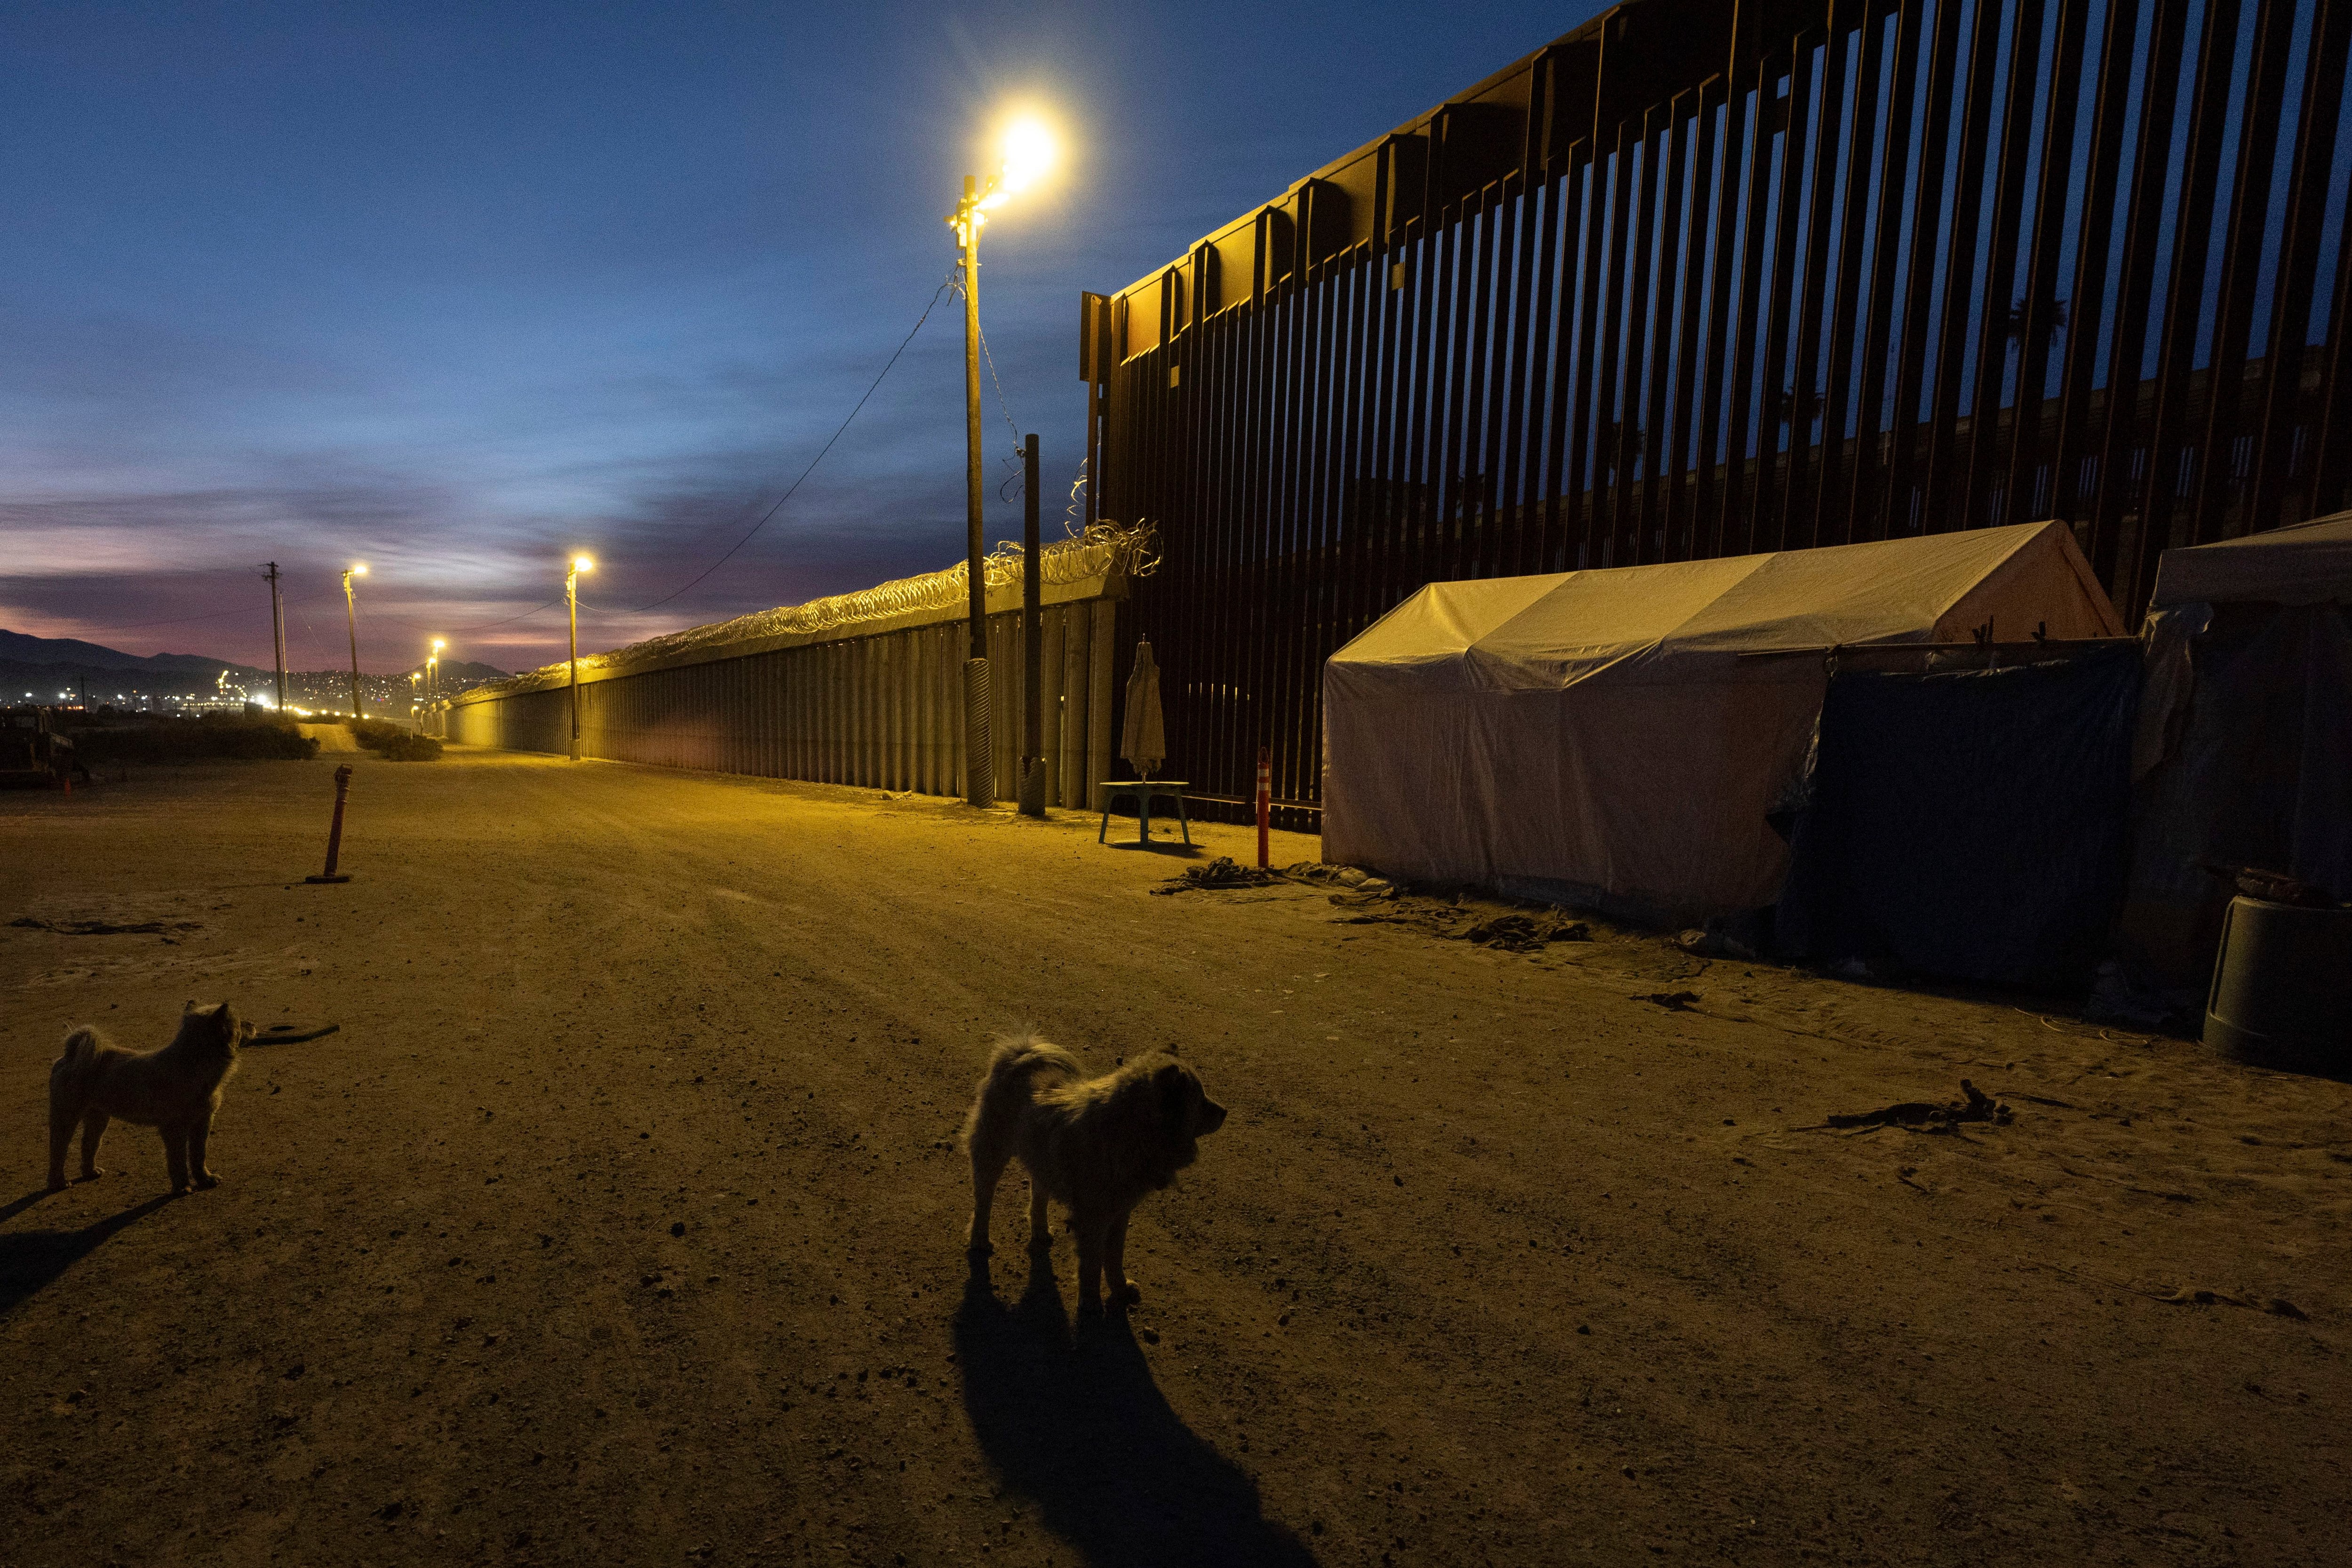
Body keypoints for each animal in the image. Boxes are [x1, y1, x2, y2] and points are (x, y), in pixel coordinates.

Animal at [46, 1001, 253, 1194]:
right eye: (239, 1024)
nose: (252, 1023)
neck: (193, 1064)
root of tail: (69, 1057)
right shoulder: (174, 1129)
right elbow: (177, 1160)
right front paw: (182, 1187)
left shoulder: (203, 1122)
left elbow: (199, 1155)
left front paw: (205, 1179)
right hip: (66, 1117)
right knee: (58, 1151)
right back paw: (59, 1182)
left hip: (98, 1118)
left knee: (89, 1144)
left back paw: (90, 1172)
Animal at [960, 1029, 1232, 1316]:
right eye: (1201, 1100)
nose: (1225, 1112)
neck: (1131, 1131)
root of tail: (1018, 1056)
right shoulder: (1093, 1219)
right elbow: (1091, 1266)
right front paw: (1091, 1303)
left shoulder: (1120, 1214)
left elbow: (1114, 1260)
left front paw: (1121, 1290)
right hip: (992, 1153)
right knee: (984, 1202)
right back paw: (980, 1240)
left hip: (1043, 1161)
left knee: (1038, 1195)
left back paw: (1041, 1232)